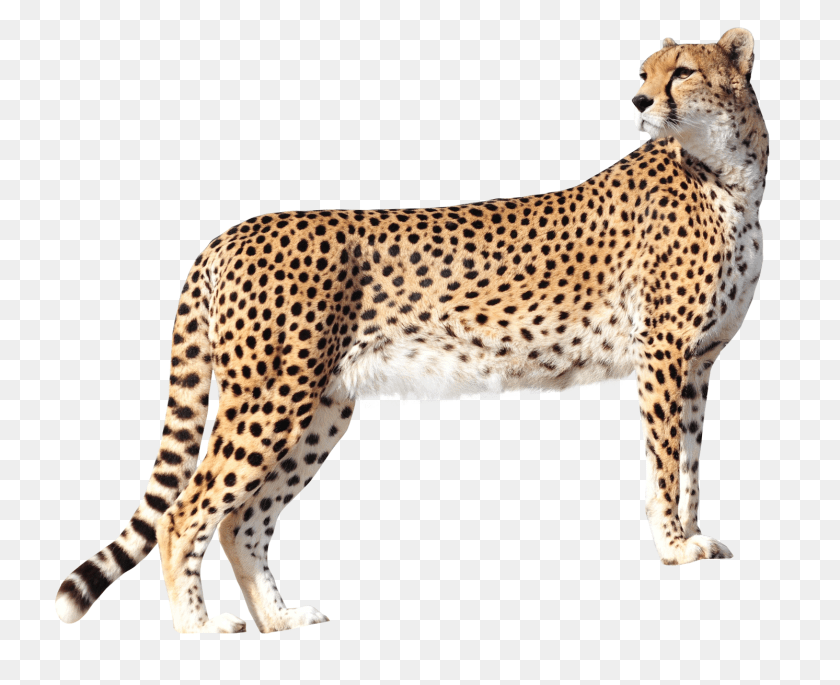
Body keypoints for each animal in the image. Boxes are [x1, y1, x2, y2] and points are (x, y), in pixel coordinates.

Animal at [56, 28, 768, 633]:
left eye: (682, 70)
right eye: (645, 72)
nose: (640, 100)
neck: (731, 173)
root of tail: (232, 232)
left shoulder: (699, 361)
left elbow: (691, 461)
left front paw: (695, 537)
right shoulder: (664, 353)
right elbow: (665, 461)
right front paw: (673, 548)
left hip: (321, 408)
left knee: (242, 522)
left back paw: (280, 619)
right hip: (271, 397)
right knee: (185, 512)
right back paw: (198, 629)